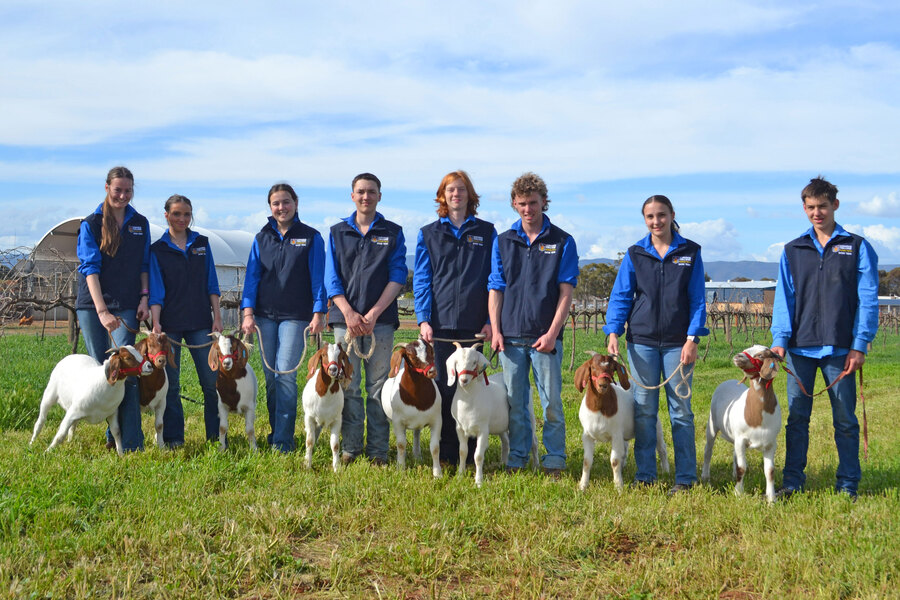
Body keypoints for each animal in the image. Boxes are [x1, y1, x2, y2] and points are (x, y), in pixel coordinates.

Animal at [302, 344, 352, 472]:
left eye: (341, 355)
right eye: (324, 354)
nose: (333, 369)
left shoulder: (337, 420)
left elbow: (335, 445)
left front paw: (336, 468)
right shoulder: (309, 417)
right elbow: (309, 441)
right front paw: (308, 465)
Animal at [378, 340, 442, 476]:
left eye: (431, 351)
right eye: (411, 356)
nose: (432, 372)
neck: (417, 399)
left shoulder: (437, 420)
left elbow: (435, 447)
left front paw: (437, 473)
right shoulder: (398, 422)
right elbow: (401, 444)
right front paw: (400, 468)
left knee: (416, 434)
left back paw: (417, 456)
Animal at [576, 354, 668, 490]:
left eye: (612, 369)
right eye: (592, 367)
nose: (602, 385)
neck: (598, 409)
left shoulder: (616, 434)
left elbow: (614, 461)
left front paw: (619, 486)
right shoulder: (587, 435)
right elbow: (587, 461)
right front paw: (582, 486)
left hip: (656, 425)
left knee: (661, 447)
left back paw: (666, 470)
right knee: (624, 450)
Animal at [704, 342, 780, 502]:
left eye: (761, 355)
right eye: (748, 348)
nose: (738, 356)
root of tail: (729, 381)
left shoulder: (771, 443)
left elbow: (770, 471)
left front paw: (771, 499)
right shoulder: (741, 439)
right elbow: (742, 468)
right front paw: (738, 493)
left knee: (734, 453)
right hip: (712, 425)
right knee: (708, 451)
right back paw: (705, 476)